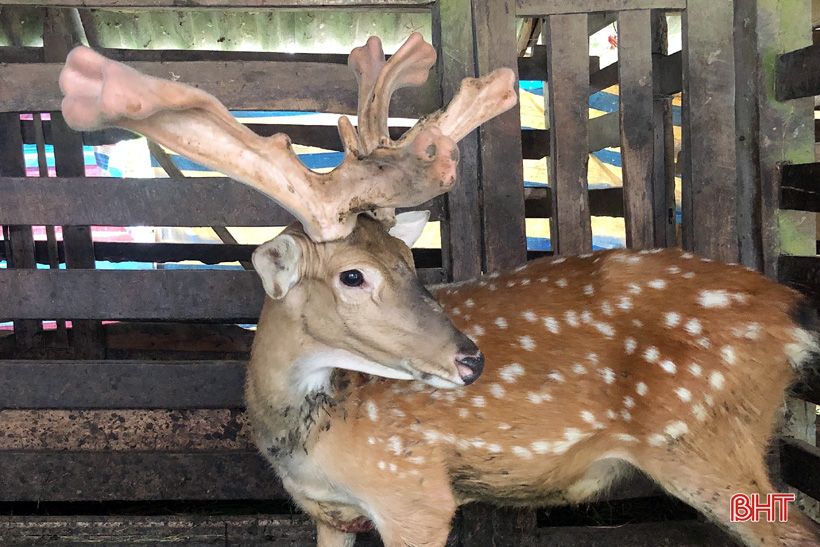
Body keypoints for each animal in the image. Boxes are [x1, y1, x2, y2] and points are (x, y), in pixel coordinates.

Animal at [59, 34, 820, 547]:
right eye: (354, 273)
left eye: (408, 257)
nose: (470, 358)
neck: (301, 439)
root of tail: (791, 310)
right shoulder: (327, 511)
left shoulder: (413, 491)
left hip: (706, 435)